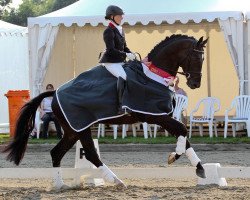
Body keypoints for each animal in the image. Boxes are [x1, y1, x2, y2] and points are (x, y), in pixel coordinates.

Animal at [2, 34, 208, 189]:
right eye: (196, 58)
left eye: (203, 59)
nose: (195, 84)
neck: (153, 76)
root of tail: (55, 92)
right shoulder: (154, 115)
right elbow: (182, 131)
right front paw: (175, 155)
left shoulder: (162, 116)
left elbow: (184, 136)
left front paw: (199, 168)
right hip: (81, 128)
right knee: (90, 154)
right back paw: (115, 180)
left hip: (72, 131)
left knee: (56, 153)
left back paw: (60, 185)